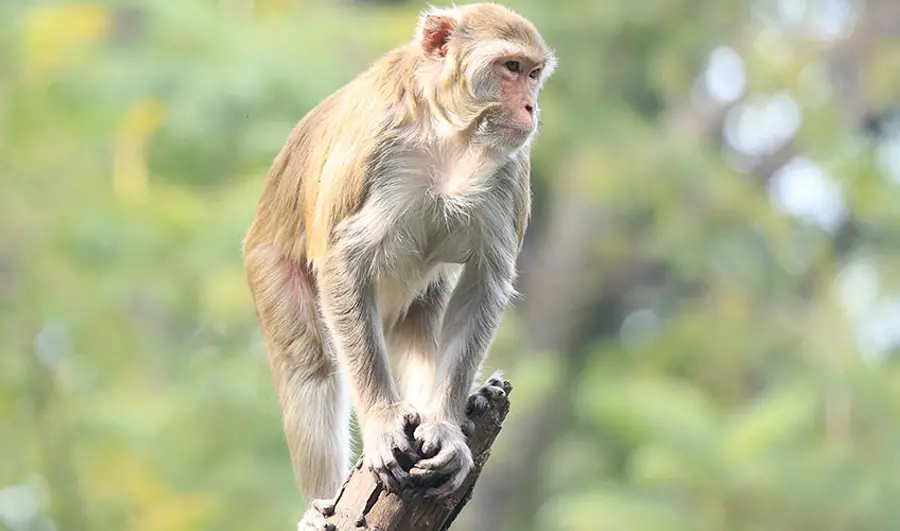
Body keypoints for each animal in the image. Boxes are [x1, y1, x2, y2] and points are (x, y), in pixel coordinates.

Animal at [242, 3, 556, 529]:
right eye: (510, 67)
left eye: (534, 74)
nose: (531, 107)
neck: (450, 131)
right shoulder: (375, 141)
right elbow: (342, 262)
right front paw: (383, 420)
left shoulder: (511, 171)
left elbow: (484, 282)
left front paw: (446, 426)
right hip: (268, 264)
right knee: (310, 364)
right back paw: (319, 505)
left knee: (420, 324)